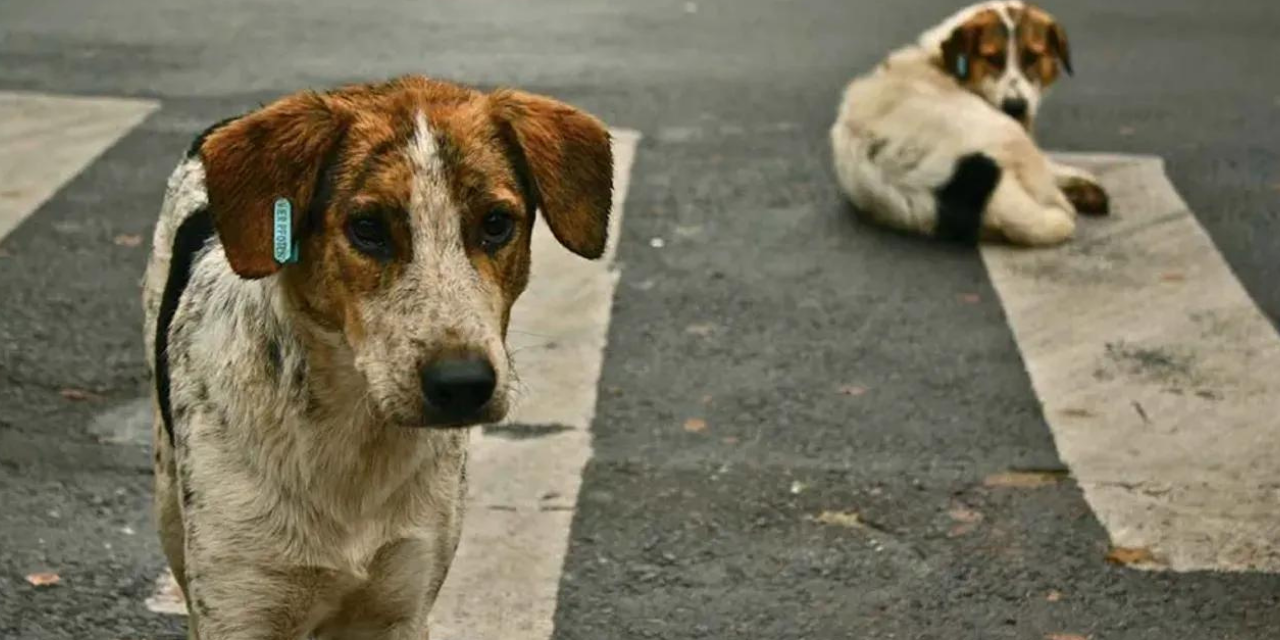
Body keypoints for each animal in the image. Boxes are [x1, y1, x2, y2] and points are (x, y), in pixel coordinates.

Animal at [142, 76, 611, 640]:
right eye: (367, 228)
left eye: (497, 223)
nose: (463, 384)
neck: (354, 436)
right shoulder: (240, 608)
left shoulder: (401, 604)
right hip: (170, 504)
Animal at [829, 1, 1111, 245]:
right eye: (992, 59)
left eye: (1032, 57)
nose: (1015, 106)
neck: (942, 62)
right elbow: (1050, 167)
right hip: (1006, 133)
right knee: (1049, 193)